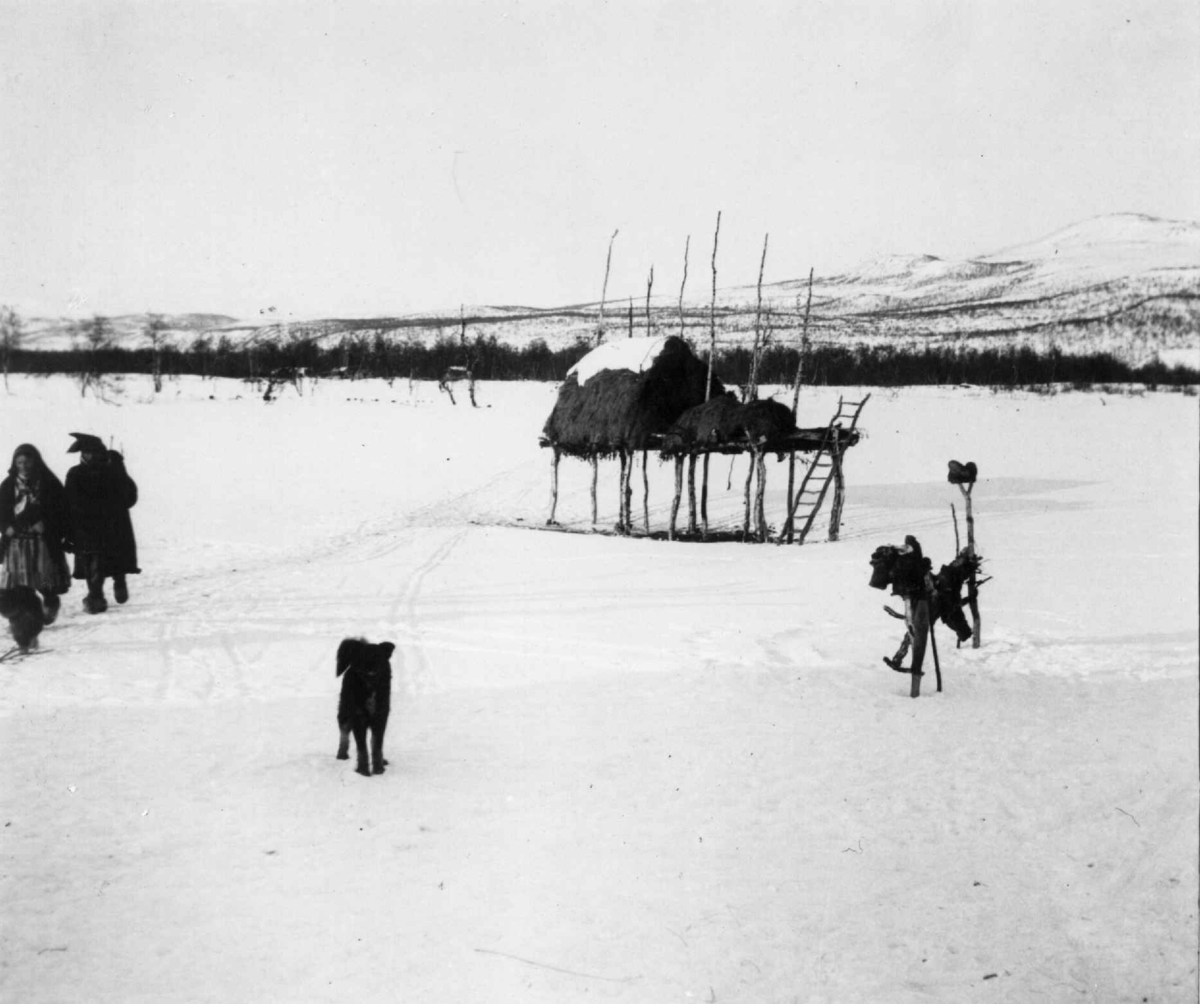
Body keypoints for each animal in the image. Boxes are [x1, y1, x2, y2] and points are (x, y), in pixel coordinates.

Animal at [336, 642, 396, 777]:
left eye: (378, 656)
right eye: (363, 657)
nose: (371, 669)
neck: (370, 686)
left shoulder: (380, 718)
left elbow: (377, 746)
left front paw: (378, 769)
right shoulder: (358, 719)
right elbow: (362, 749)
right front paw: (363, 770)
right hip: (345, 711)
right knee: (344, 733)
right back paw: (341, 755)